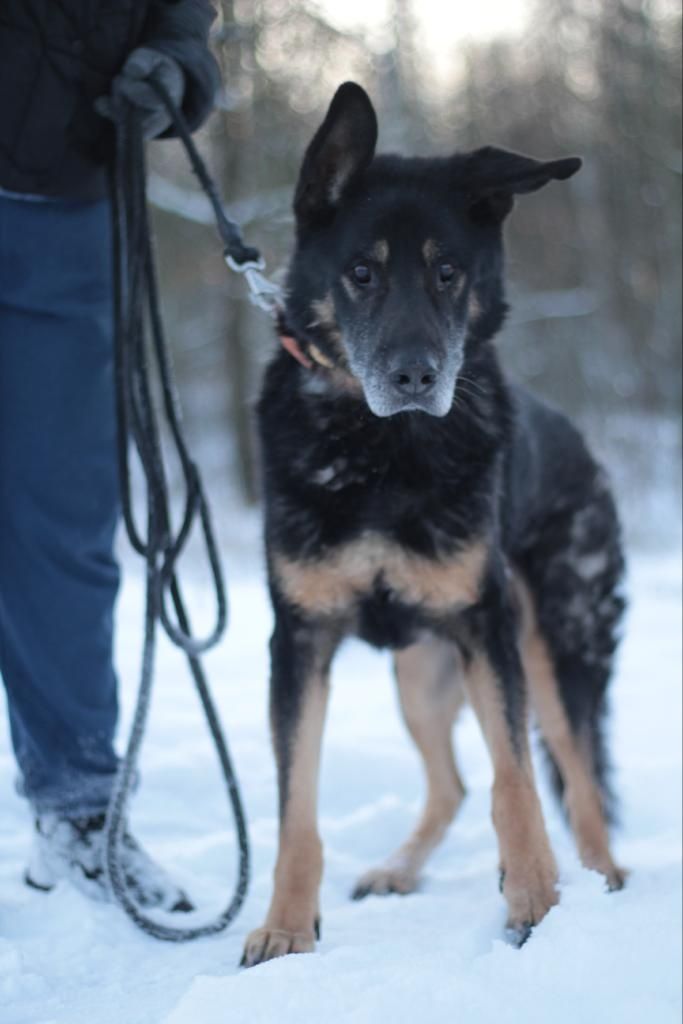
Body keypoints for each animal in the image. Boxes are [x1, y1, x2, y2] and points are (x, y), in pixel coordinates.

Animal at [240, 81, 626, 966]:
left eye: (447, 272)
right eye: (361, 274)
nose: (415, 376)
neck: (378, 450)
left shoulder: (486, 626)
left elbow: (515, 784)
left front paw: (533, 905)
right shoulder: (299, 641)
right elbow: (295, 810)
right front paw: (285, 929)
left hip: (551, 650)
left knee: (578, 780)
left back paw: (602, 886)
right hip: (419, 674)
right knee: (450, 783)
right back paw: (397, 869)